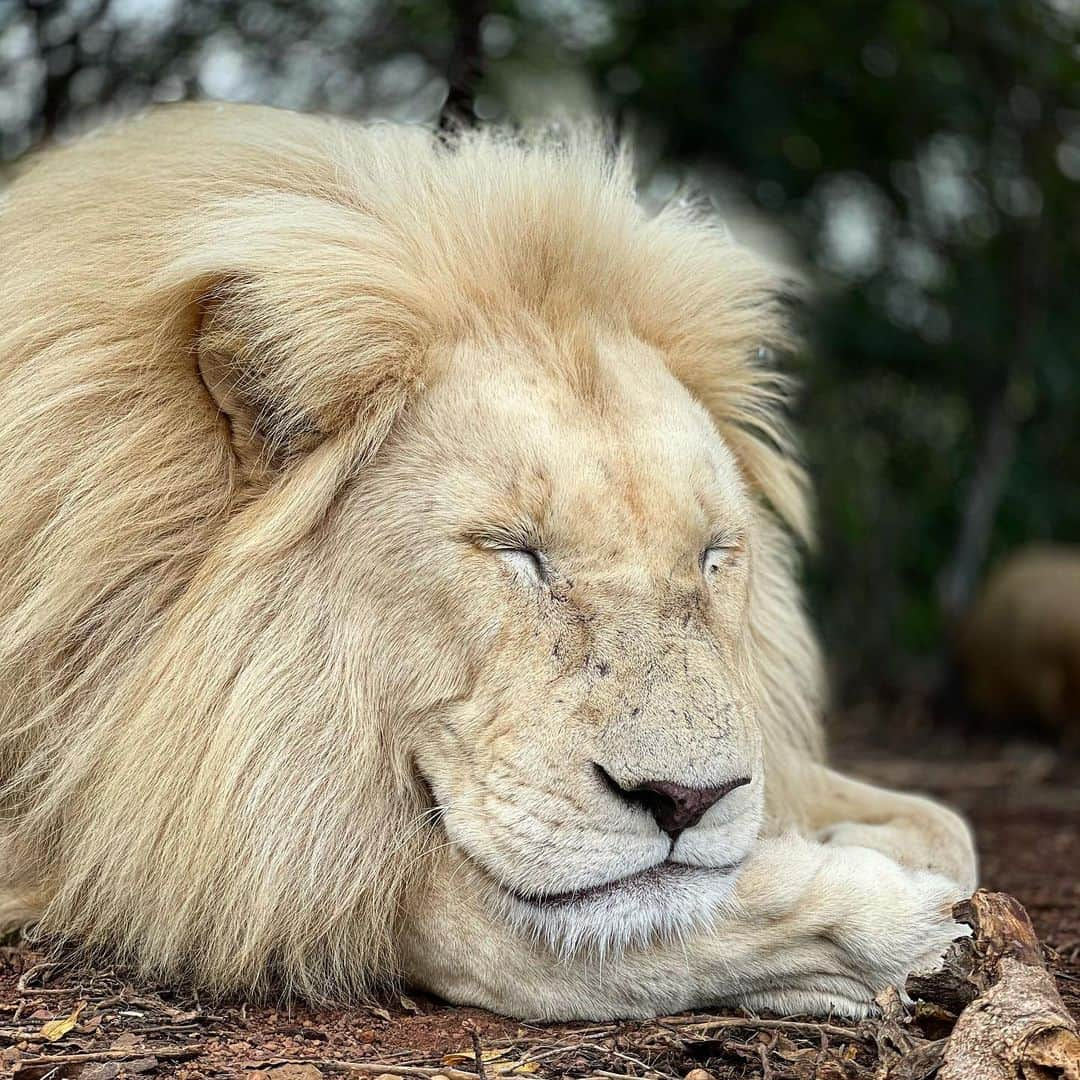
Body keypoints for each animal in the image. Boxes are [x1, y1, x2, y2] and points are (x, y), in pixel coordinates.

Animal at [0, 103, 980, 1019]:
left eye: (711, 557)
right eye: (517, 552)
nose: (686, 799)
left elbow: (947, 826)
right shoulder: (194, 837)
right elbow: (532, 939)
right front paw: (881, 921)